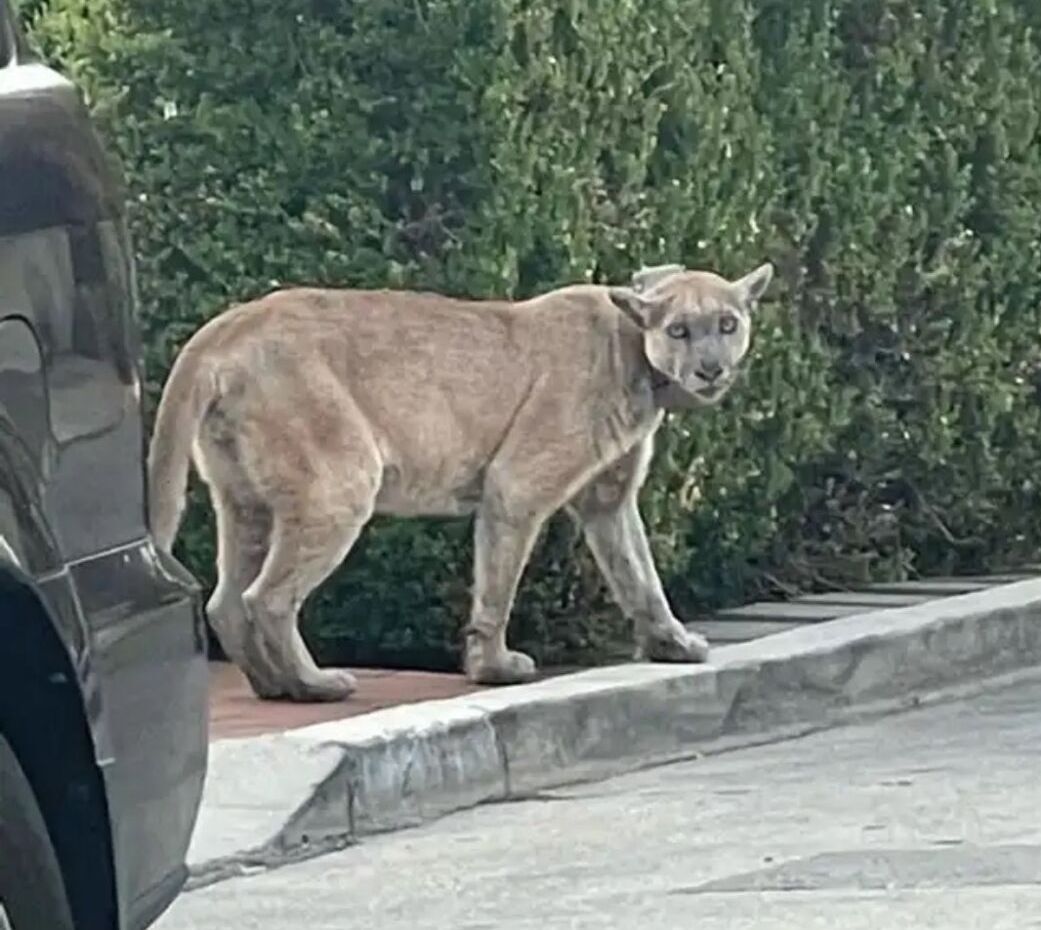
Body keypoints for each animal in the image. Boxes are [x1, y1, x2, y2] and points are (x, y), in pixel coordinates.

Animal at [147, 261, 773, 701]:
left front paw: (673, 643)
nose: (711, 368)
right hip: (339, 484)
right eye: (679, 330)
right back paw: (314, 685)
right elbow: (498, 582)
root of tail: (225, 327)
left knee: (227, 600)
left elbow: (641, 576)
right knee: (267, 597)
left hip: (245, 501)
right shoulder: (515, 486)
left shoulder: (608, 501)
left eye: (727, 324)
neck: (631, 348)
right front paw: (493, 667)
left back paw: (273, 686)